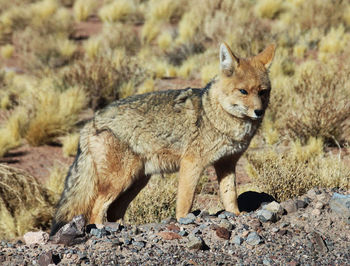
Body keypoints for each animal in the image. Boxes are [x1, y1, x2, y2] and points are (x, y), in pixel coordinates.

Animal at [51, 42, 276, 236]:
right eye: (243, 91)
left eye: (263, 92)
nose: (258, 112)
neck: (216, 114)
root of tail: (91, 122)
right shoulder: (192, 164)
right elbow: (185, 201)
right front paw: (184, 220)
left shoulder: (227, 163)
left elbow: (230, 197)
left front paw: (237, 215)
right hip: (120, 181)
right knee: (95, 210)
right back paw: (100, 230)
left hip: (136, 181)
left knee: (113, 211)